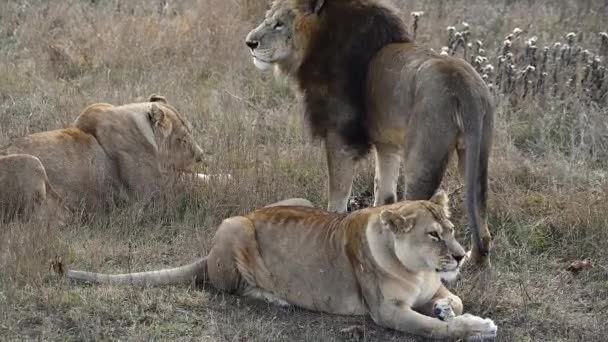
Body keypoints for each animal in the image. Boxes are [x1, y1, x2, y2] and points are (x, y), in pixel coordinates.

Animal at [66, 192, 496, 340]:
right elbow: (437, 329)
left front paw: (445, 309)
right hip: (235, 225)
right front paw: (474, 327)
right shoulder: (386, 313)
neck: (419, 271)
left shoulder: (435, 287)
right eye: (433, 235)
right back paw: (276, 298)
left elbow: (453, 301)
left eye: (452, 230)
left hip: (300, 201)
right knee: (232, 287)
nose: (461, 255)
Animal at [243, 0, 494, 266]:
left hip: (423, 158)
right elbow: (384, 194)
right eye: (268, 18)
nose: (250, 43)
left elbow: (338, 195)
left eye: (279, 24)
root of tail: (463, 86)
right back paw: (475, 261)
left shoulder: (340, 137)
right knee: (482, 219)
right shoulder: (387, 145)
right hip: (476, 155)